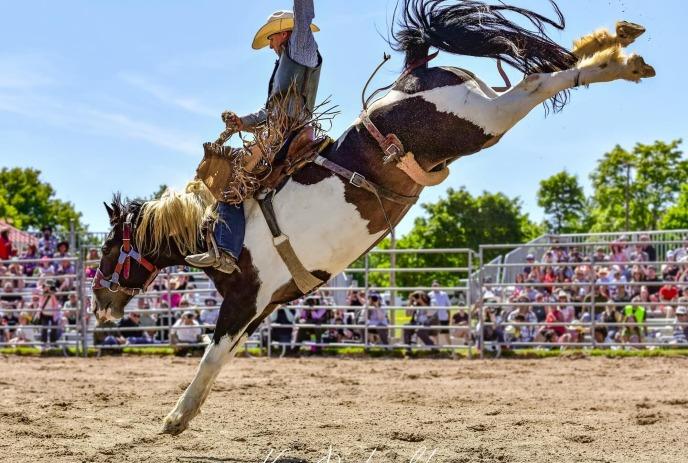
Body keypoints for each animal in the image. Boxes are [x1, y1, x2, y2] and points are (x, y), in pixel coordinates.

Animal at [91, 0, 655, 435]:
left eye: (109, 248)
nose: (98, 302)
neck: (211, 229)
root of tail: (409, 76)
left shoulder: (245, 298)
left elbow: (211, 355)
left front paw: (174, 419)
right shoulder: (262, 307)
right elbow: (223, 357)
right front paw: (183, 416)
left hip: (481, 121)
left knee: (537, 84)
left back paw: (622, 64)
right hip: (481, 110)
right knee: (536, 73)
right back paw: (615, 41)